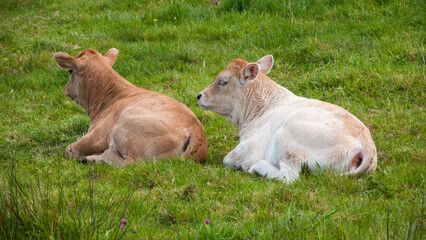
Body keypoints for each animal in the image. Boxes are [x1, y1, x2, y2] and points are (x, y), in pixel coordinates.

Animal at [55, 48, 208, 166]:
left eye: (70, 71)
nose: (66, 89)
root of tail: (196, 131)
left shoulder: (97, 135)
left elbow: (69, 149)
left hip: (123, 128)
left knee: (131, 163)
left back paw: (94, 158)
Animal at [196, 54, 376, 182]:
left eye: (223, 81)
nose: (199, 95)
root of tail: (366, 144)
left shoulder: (252, 147)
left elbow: (227, 159)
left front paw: (242, 166)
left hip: (289, 137)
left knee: (289, 176)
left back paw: (257, 167)